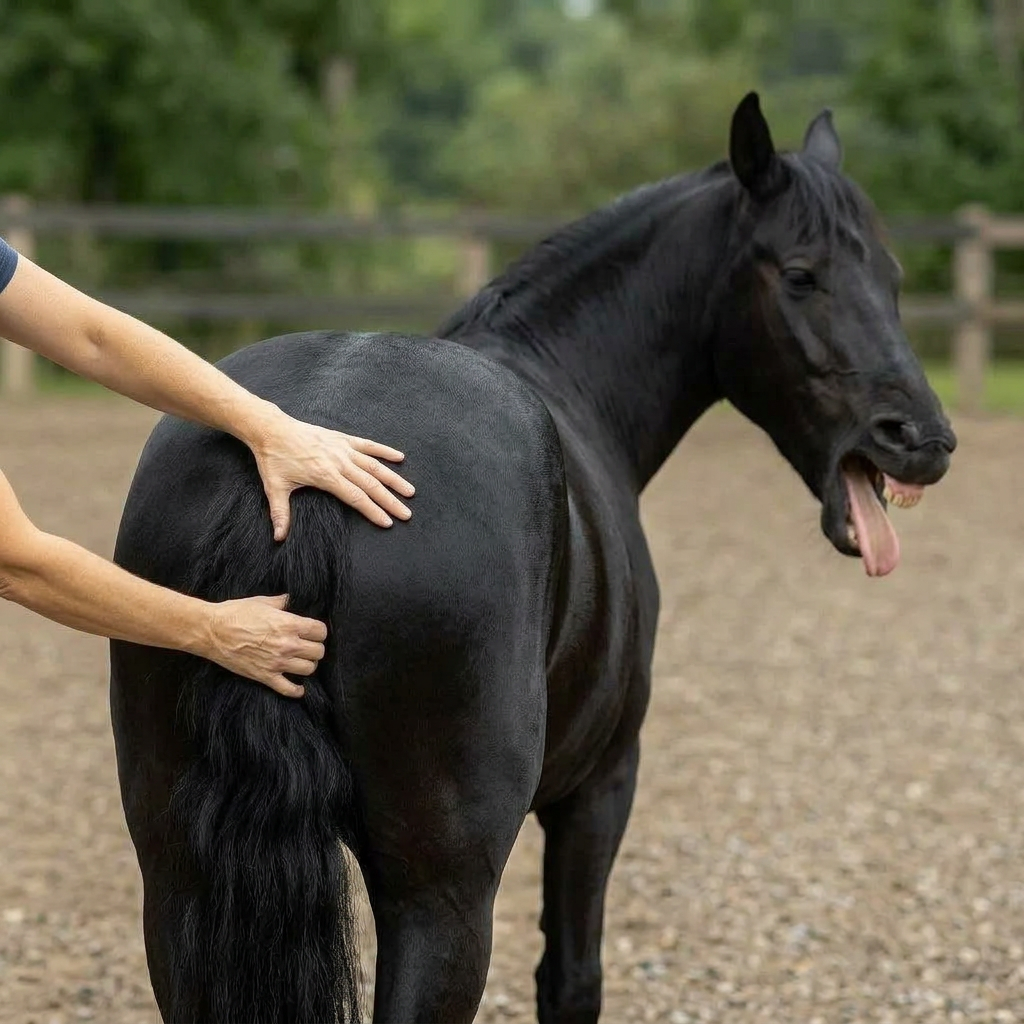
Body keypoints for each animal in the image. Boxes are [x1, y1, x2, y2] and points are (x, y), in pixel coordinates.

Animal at [109, 92, 956, 1023]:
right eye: (801, 275)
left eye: (892, 278)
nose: (922, 439)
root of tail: (303, 457)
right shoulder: (598, 791)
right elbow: (571, 978)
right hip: (442, 900)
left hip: (178, 880)